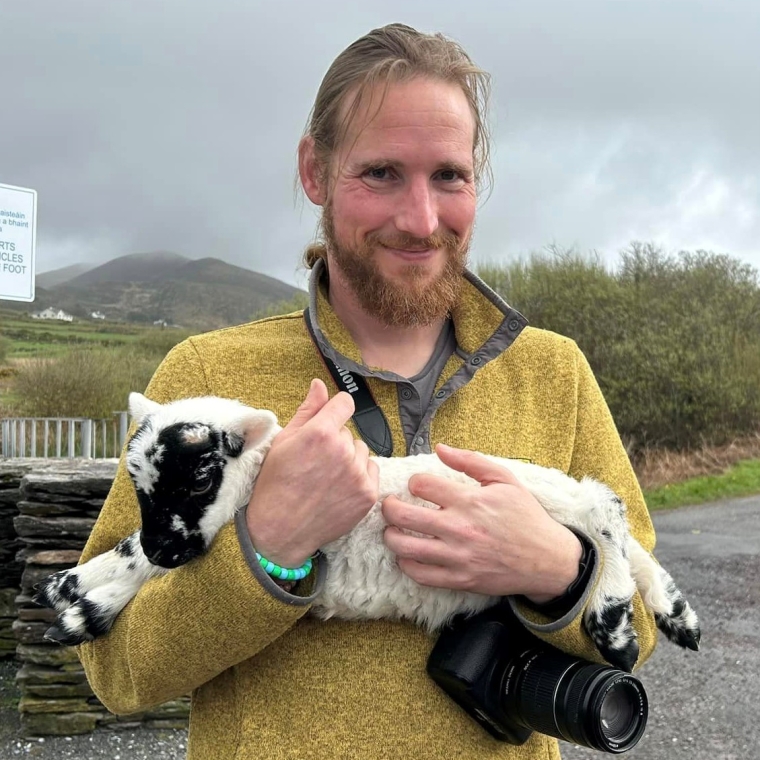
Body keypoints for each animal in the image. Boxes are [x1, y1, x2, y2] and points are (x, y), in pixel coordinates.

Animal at [35, 392, 700, 672]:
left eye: (199, 477)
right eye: (135, 481)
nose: (165, 544)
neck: (257, 482)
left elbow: (143, 566)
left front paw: (82, 607)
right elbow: (131, 554)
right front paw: (72, 586)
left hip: (547, 501)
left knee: (607, 514)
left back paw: (615, 626)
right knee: (627, 538)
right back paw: (677, 615)